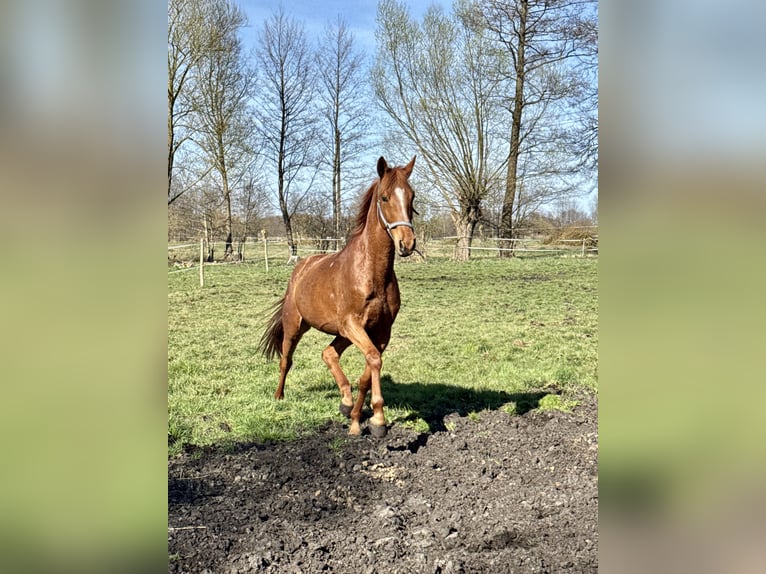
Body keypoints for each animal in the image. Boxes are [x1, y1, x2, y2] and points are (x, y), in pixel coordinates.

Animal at [258, 156, 417, 438]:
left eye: (412, 196)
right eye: (385, 197)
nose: (407, 244)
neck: (372, 274)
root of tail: (302, 266)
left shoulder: (381, 331)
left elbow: (369, 370)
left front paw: (359, 419)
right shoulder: (353, 324)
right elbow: (373, 360)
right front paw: (377, 420)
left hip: (340, 332)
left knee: (328, 354)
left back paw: (345, 402)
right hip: (296, 325)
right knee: (286, 360)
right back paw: (279, 397)